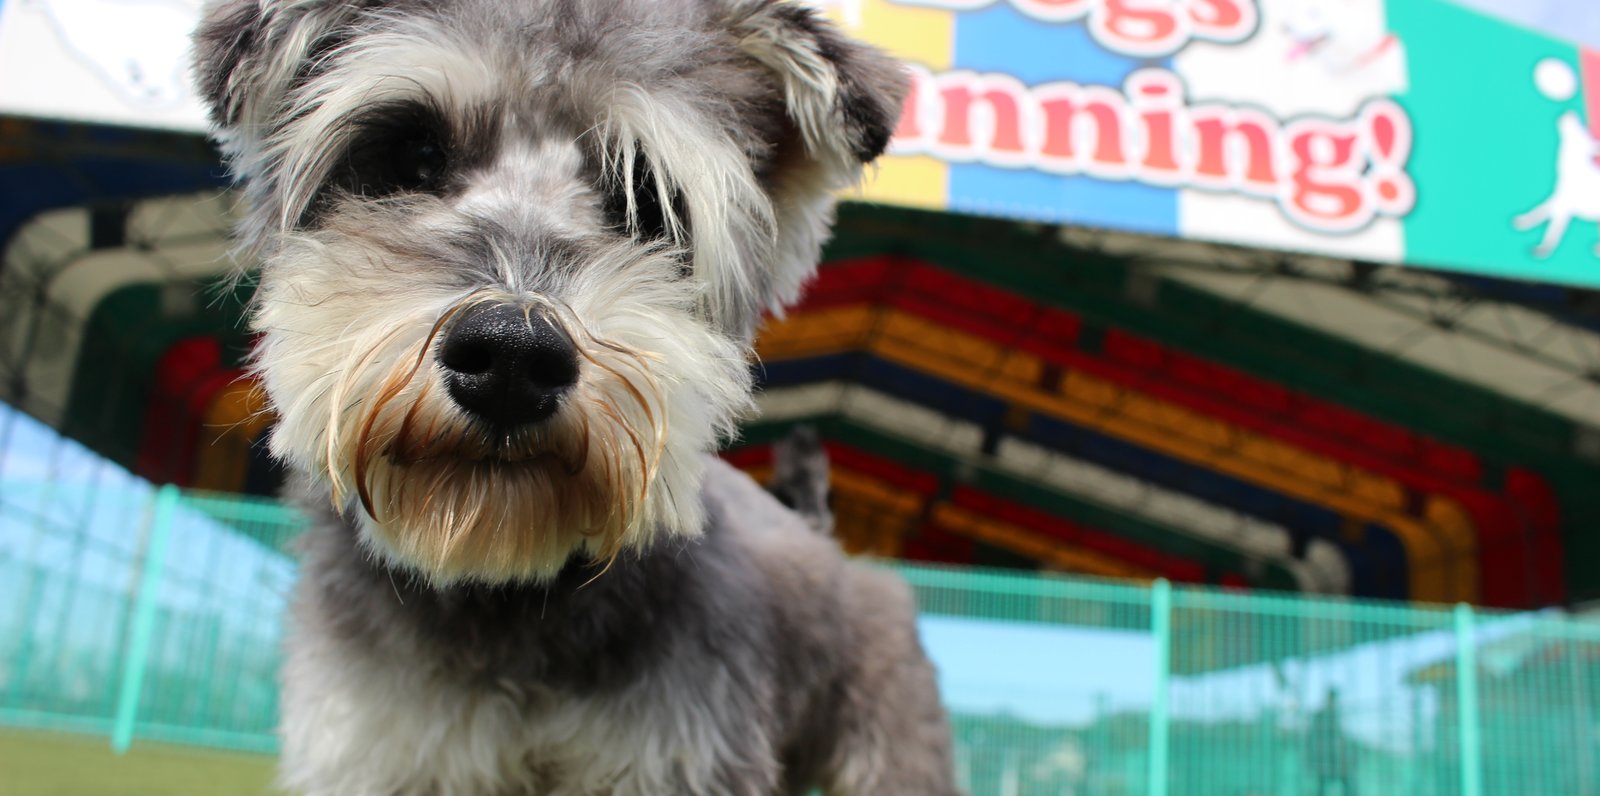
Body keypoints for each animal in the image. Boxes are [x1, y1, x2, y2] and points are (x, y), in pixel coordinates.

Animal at [193, 1, 953, 796]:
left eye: (647, 199)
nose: (511, 357)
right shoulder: (375, 755)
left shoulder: (677, 760)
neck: (502, 583)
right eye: (413, 156)